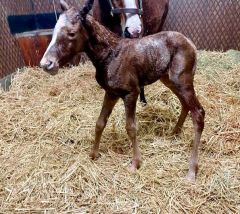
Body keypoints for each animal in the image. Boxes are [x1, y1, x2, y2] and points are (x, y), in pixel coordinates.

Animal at [40, 0, 204, 181]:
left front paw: (135, 164)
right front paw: (93, 154)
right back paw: (174, 133)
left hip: (182, 80)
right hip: (168, 79)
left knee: (198, 113)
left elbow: (131, 127)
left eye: (71, 33)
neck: (109, 55)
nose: (47, 64)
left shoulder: (131, 92)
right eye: (54, 30)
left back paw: (191, 171)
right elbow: (100, 123)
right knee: (185, 105)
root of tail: (191, 44)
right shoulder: (111, 92)